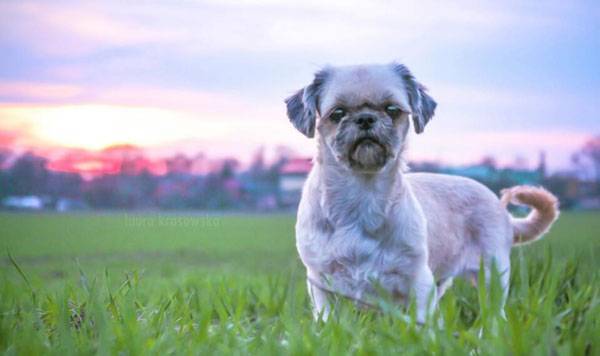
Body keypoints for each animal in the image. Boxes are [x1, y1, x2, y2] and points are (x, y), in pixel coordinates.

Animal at [284, 62, 560, 322]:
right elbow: (328, 320)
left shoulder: (418, 281)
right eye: (337, 113)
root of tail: (503, 213)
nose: (365, 118)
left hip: (492, 275)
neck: (363, 194)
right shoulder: (322, 282)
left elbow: (422, 325)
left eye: (392, 110)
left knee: (494, 315)